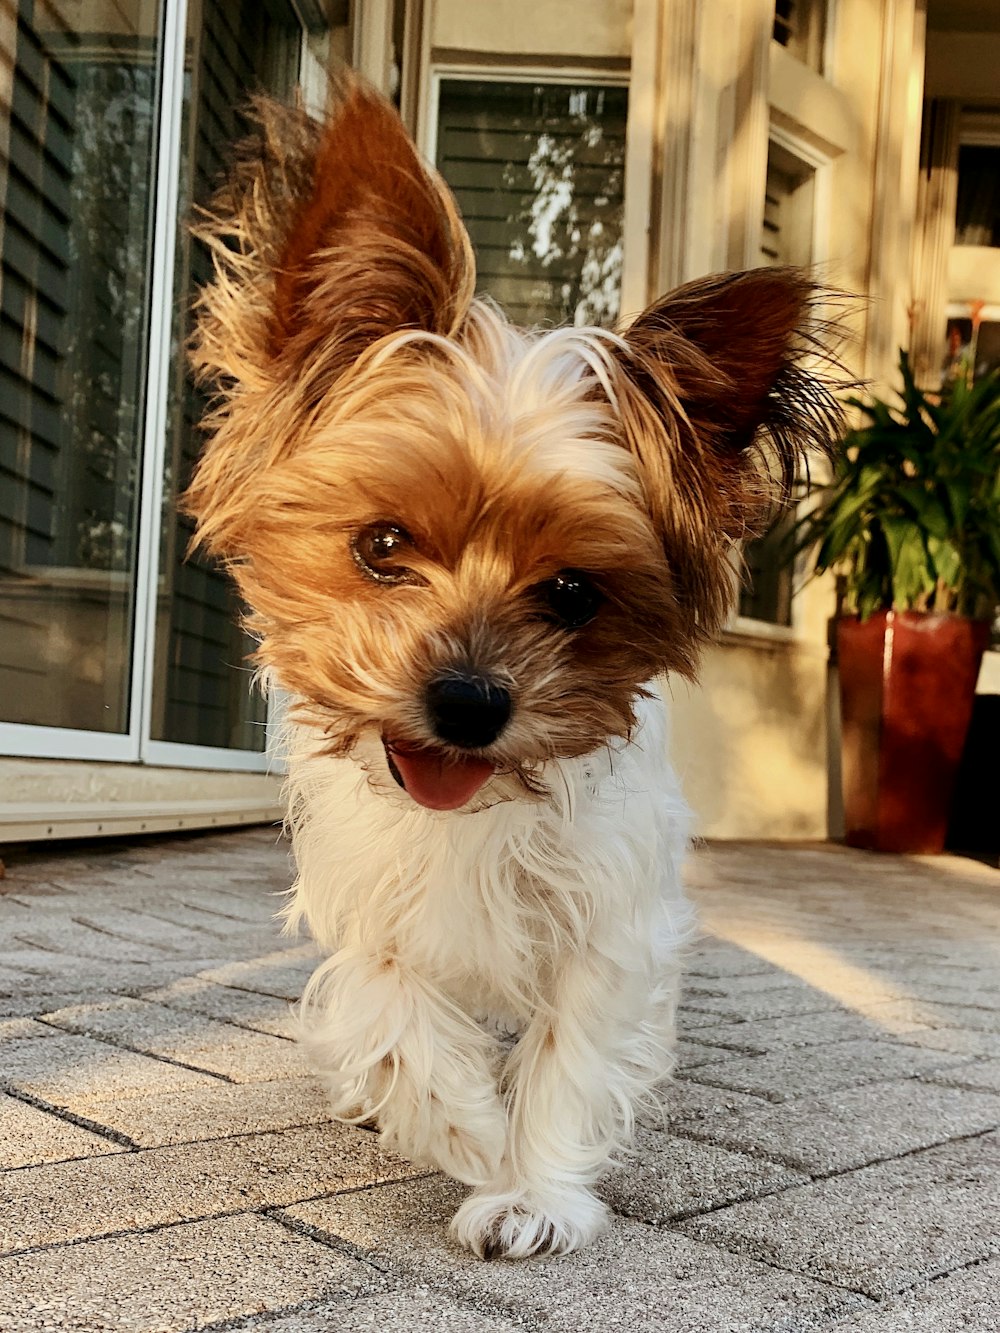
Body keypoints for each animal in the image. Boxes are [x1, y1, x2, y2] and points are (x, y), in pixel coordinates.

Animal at [184, 80, 842, 1258]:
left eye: (575, 593)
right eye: (381, 544)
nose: (468, 701)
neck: (474, 810)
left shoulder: (610, 918)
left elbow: (572, 1052)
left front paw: (530, 1189)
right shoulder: (371, 895)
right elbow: (390, 1006)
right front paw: (461, 1126)